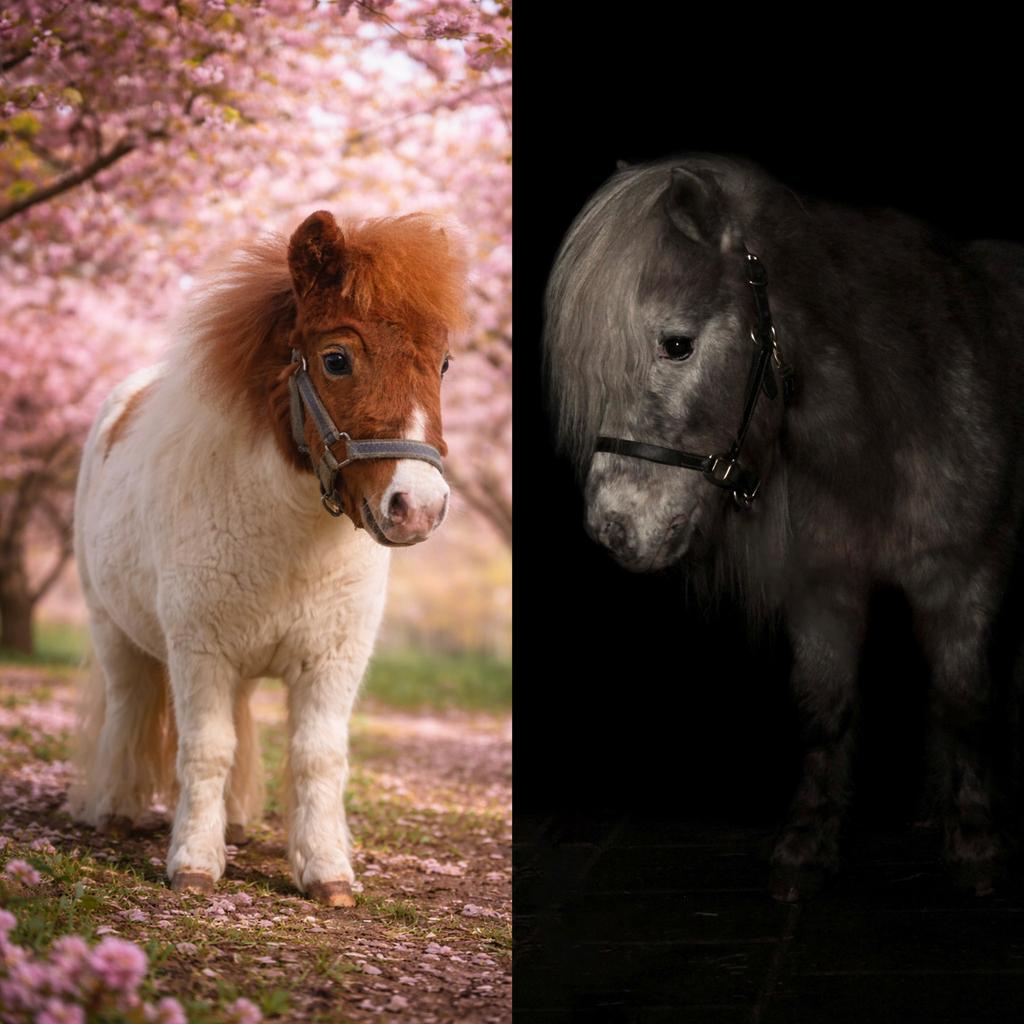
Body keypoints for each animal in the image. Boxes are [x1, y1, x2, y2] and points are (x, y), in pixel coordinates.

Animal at [69, 210, 468, 905]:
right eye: (336, 359)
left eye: (442, 364)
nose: (418, 507)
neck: (290, 537)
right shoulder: (199, 652)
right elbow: (205, 749)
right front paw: (194, 864)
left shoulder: (332, 660)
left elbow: (317, 756)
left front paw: (326, 871)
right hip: (114, 632)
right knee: (128, 706)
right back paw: (115, 809)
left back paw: (232, 821)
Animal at [543, 154, 1024, 900]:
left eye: (676, 345)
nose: (614, 527)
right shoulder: (822, 587)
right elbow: (824, 705)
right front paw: (808, 844)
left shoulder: (968, 577)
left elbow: (964, 698)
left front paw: (974, 841)